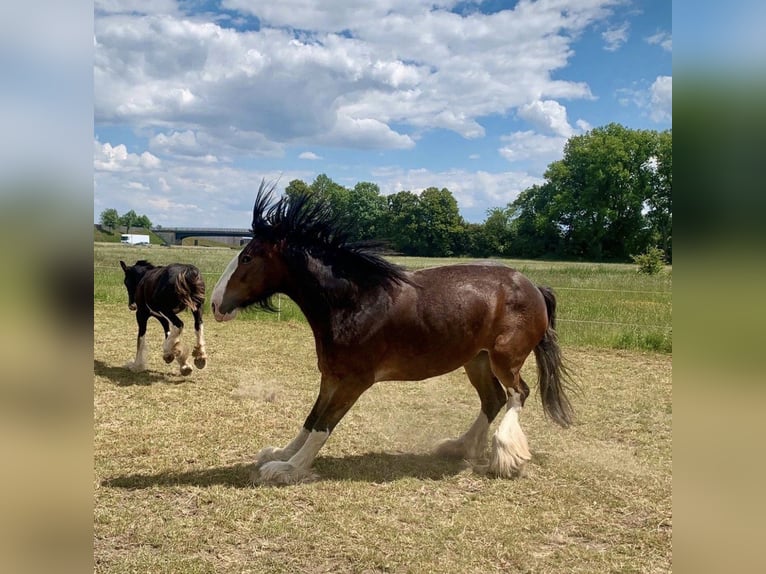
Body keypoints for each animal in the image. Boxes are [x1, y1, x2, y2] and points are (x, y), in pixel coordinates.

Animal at [211, 181, 574, 485]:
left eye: (247, 257)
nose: (214, 304)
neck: (355, 301)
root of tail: (534, 287)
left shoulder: (355, 380)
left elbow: (324, 424)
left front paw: (287, 469)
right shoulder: (331, 376)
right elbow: (311, 419)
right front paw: (280, 454)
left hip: (504, 357)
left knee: (518, 394)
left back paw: (504, 457)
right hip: (477, 360)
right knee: (493, 399)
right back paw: (460, 448)